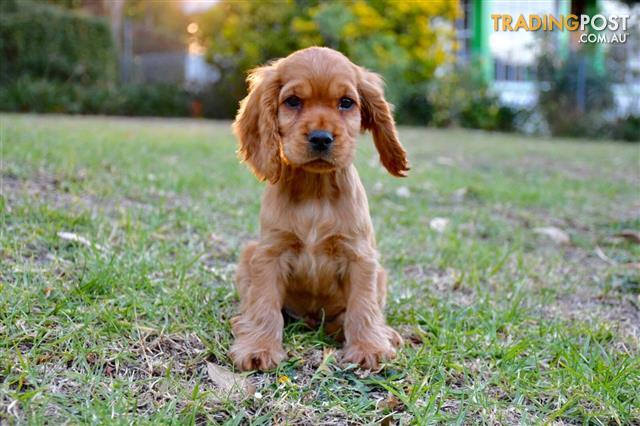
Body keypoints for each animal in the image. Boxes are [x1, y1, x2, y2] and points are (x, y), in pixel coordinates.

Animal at [232, 46, 408, 372]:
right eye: (293, 101)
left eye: (346, 103)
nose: (321, 138)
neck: (316, 190)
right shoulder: (269, 254)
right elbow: (264, 304)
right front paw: (258, 346)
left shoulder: (360, 257)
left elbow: (363, 307)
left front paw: (369, 347)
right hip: (248, 254)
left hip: (380, 275)